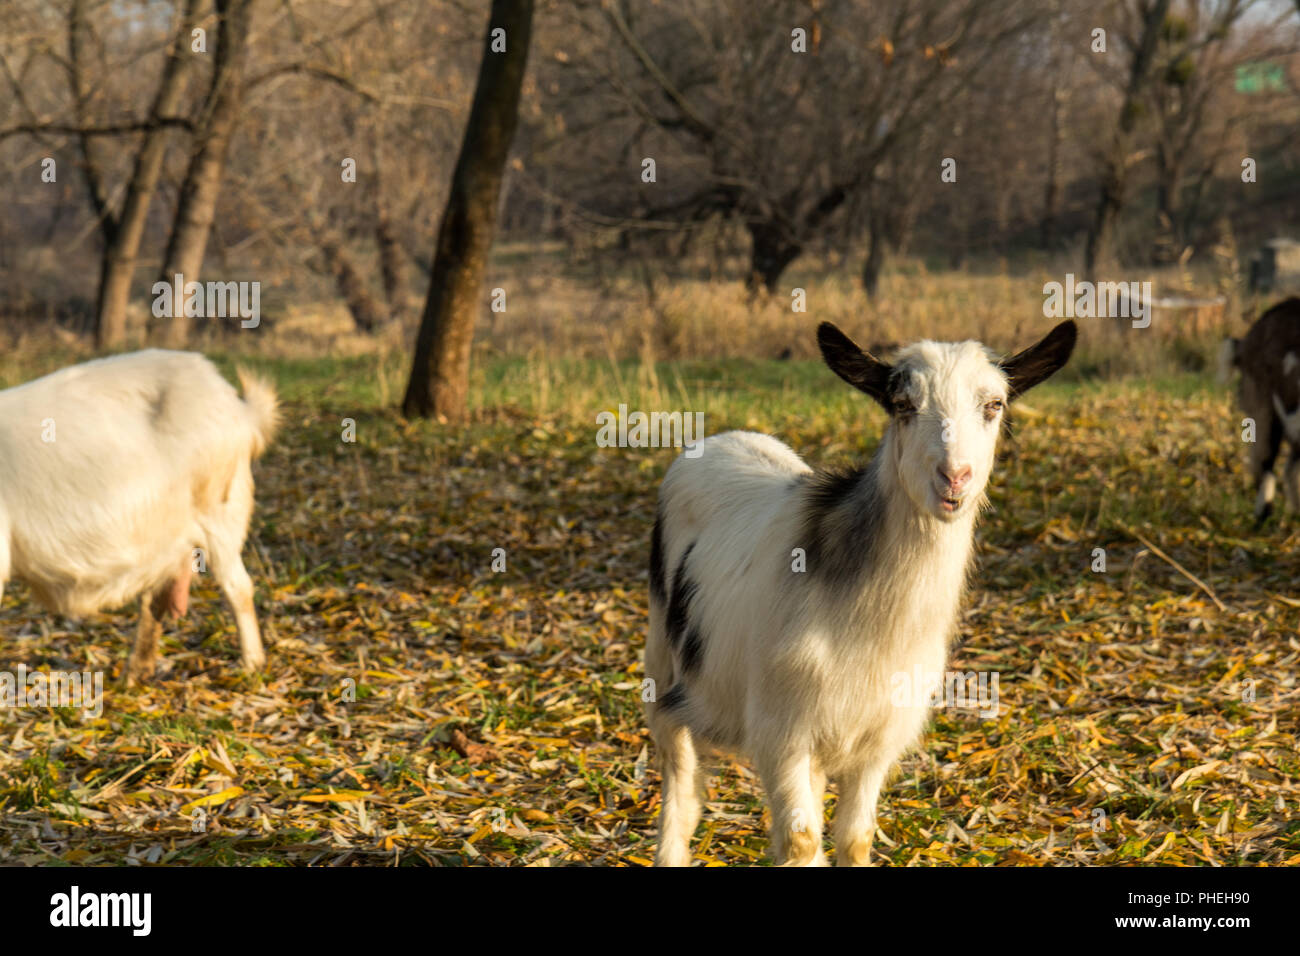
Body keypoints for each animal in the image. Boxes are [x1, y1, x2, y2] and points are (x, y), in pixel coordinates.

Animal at [0, 348, 279, 686]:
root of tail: (239, 406)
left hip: (220, 514)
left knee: (238, 587)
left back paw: (251, 664)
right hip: (169, 537)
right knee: (156, 598)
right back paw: (134, 674)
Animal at [642, 321, 1076, 868]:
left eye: (994, 404)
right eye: (903, 404)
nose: (954, 478)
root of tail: (722, 438)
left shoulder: (878, 738)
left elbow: (854, 837)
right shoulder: (779, 731)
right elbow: (802, 841)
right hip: (663, 658)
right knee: (678, 772)